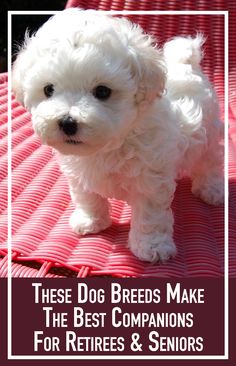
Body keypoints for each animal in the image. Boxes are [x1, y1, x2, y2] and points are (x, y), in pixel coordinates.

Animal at [12, 7, 224, 262]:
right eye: (48, 89)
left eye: (103, 91)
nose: (67, 122)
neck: (111, 144)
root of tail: (186, 62)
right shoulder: (78, 174)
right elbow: (87, 197)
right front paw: (91, 221)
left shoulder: (151, 179)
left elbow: (150, 215)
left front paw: (152, 246)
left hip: (209, 132)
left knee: (210, 161)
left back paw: (212, 190)